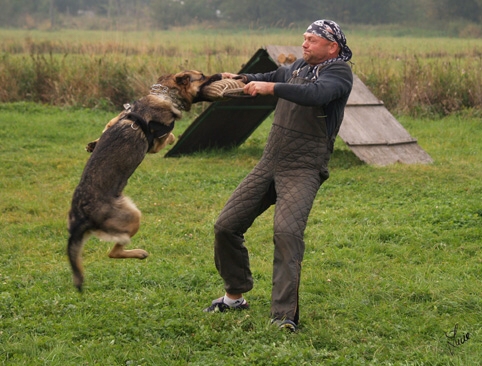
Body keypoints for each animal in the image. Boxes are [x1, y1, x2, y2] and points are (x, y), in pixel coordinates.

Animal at [67, 70, 221, 290]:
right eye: (201, 76)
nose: (219, 75)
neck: (164, 95)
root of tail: (82, 214)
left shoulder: (115, 119)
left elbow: (106, 127)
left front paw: (92, 144)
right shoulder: (157, 142)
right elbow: (170, 136)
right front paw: (173, 138)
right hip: (134, 217)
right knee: (113, 252)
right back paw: (140, 253)